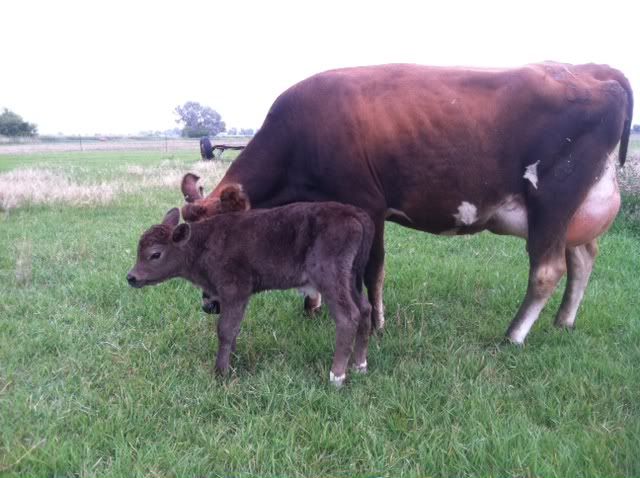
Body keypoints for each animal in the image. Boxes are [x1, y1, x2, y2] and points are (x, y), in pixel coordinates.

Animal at [127, 194, 375, 387]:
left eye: (155, 254)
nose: (131, 277)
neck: (202, 244)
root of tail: (354, 213)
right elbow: (234, 328)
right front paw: (232, 361)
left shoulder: (235, 289)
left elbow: (225, 329)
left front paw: (220, 373)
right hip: (351, 278)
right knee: (365, 309)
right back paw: (360, 365)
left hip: (330, 278)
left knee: (347, 316)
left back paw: (337, 377)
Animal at [181, 62, 633, 345]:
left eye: (216, 247)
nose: (207, 305)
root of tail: (591, 71)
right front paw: (312, 305)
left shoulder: (367, 205)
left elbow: (372, 269)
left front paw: (376, 323)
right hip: (575, 211)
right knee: (583, 257)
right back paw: (563, 321)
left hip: (552, 199)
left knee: (547, 268)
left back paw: (513, 335)